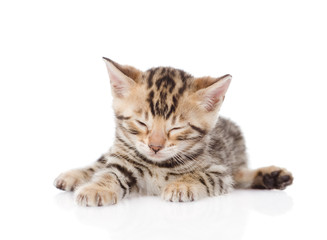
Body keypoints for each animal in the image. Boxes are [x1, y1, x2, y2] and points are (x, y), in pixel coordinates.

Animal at [53, 58, 294, 206]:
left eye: (176, 128)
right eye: (142, 123)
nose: (155, 146)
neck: (158, 165)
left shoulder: (219, 171)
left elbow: (202, 175)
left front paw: (182, 185)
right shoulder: (123, 160)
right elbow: (109, 172)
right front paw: (96, 188)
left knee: (240, 174)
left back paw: (273, 177)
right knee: (100, 163)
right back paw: (72, 176)